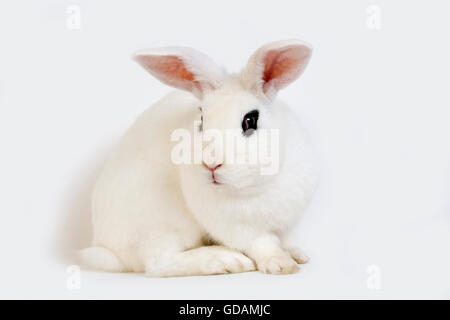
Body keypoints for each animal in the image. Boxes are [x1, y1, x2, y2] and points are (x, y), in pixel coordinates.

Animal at [80, 39, 320, 276]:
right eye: (202, 120)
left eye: (250, 120)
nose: (211, 162)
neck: (254, 188)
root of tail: (109, 250)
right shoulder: (238, 229)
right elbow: (262, 244)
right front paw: (281, 264)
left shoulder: (288, 222)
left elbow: (286, 240)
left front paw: (297, 255)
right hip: (159, 225)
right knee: (159, 263)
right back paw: (225, 260)